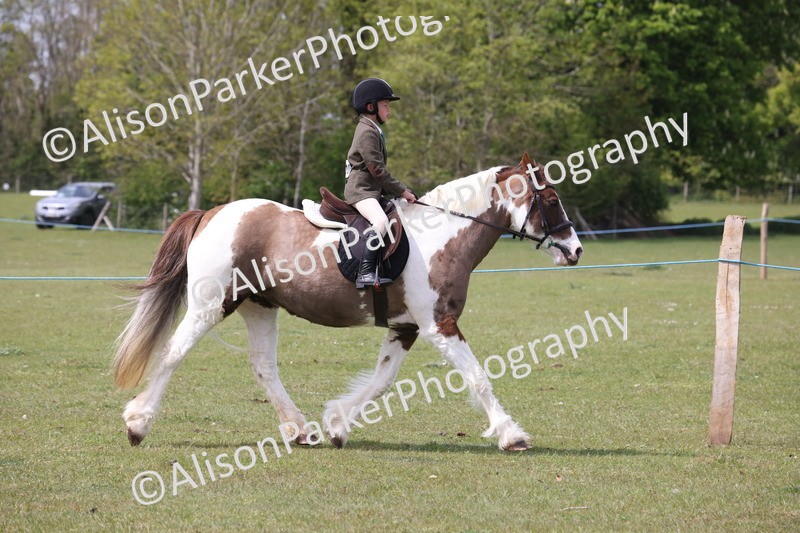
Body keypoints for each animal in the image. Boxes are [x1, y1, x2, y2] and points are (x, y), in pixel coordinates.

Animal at [113, 152, 583, 451]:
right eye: (552, 199)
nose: (575, 250)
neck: (443, 237)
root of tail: (211, 213)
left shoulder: (407, 327)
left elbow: (381, 381)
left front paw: (337, 424)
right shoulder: (439, 325)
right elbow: (478, 378)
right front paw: (510, 434)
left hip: (259, 307)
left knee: (264, 367)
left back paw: (300, 430)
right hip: (211, 306)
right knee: (173, 354)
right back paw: (138, 424)